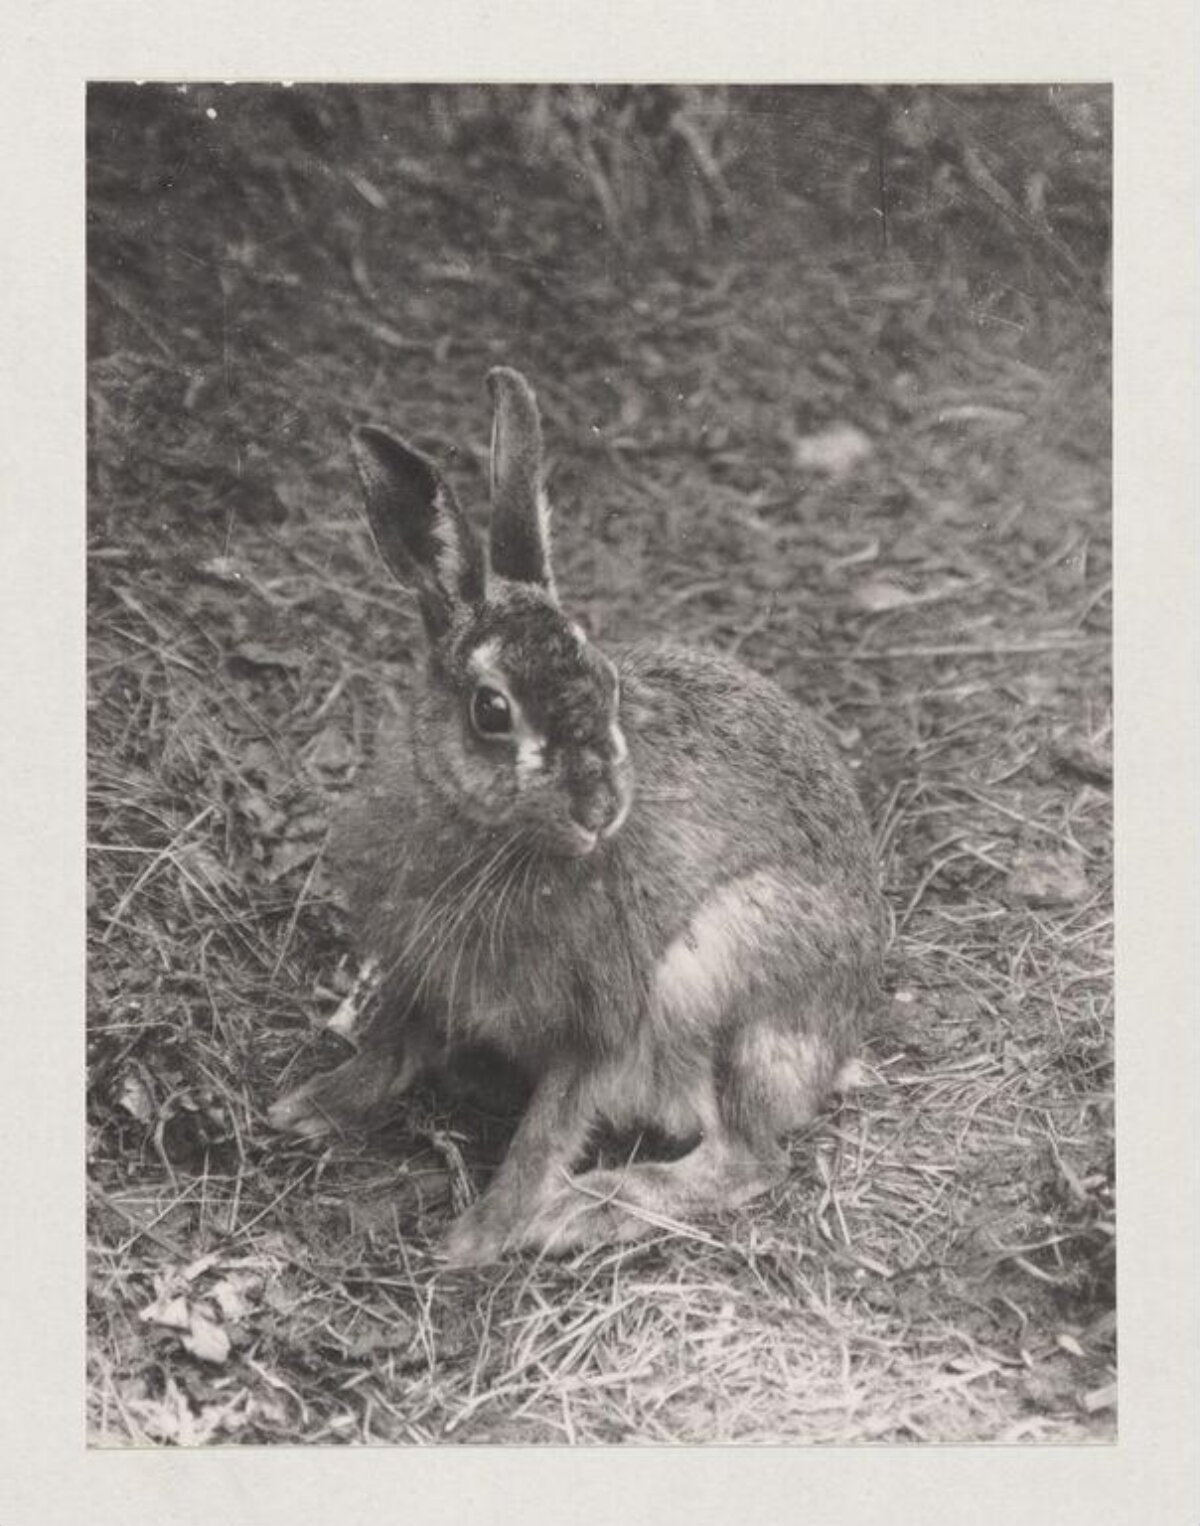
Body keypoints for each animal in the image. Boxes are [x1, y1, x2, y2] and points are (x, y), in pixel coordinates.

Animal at [269, 367, 886, 1266]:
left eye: (609, 685)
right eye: (492, 711)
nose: (601, 809)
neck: (495, 838)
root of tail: (840, 1039)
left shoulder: (601, 1023)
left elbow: (546, 1131)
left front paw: (478, 1237)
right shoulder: (422, 967)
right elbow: (391, 1043)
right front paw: (311, 1105)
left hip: (722, 972)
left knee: (747, 1160)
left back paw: (587, 1209)